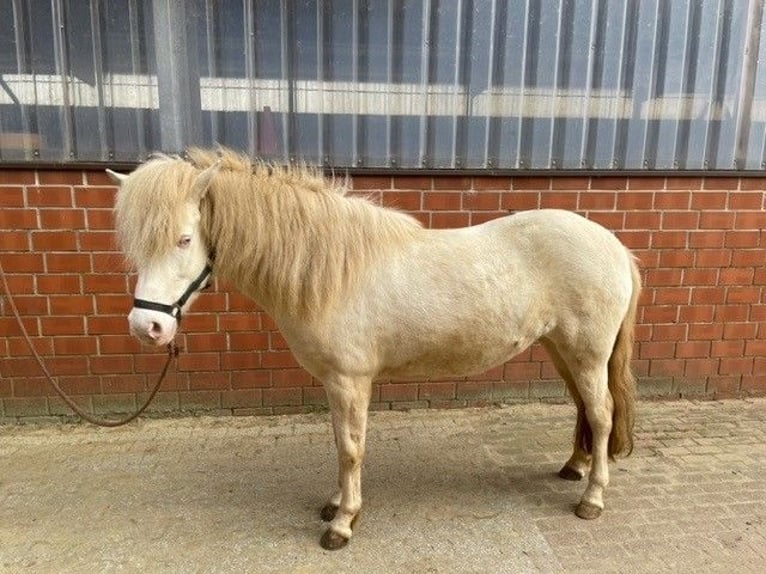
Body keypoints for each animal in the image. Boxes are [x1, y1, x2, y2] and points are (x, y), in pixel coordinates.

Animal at [108, 147, 640, 551]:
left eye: (184, 239)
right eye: (137, 244)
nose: (146, 327)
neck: (329, 271)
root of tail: (614, 245)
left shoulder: (350, 381)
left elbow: (350, 449)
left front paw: (343, 523)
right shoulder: (334, 384)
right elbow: (340, 444)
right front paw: (335, 505)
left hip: (588, 355)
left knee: (602, 415)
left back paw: (592, 498)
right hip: (563, 351)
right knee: (584, 410)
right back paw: (574, 468)